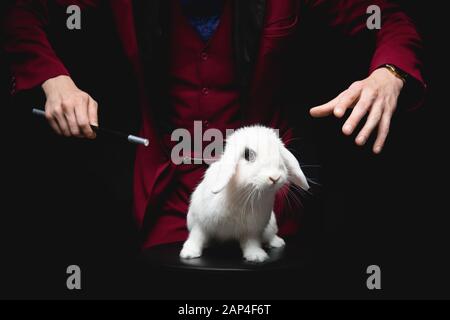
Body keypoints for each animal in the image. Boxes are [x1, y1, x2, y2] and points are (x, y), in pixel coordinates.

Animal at [179, 125, 310, 262]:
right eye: (248, 155)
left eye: (279, 154)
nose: (275, 177)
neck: (243, 193)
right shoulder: (200, 223)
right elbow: (196, 237)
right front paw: (189, 253)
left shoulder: (251, 229)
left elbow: (251, 243)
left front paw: (256, 256)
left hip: (271, 226)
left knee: (271, 236)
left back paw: (277, 242)